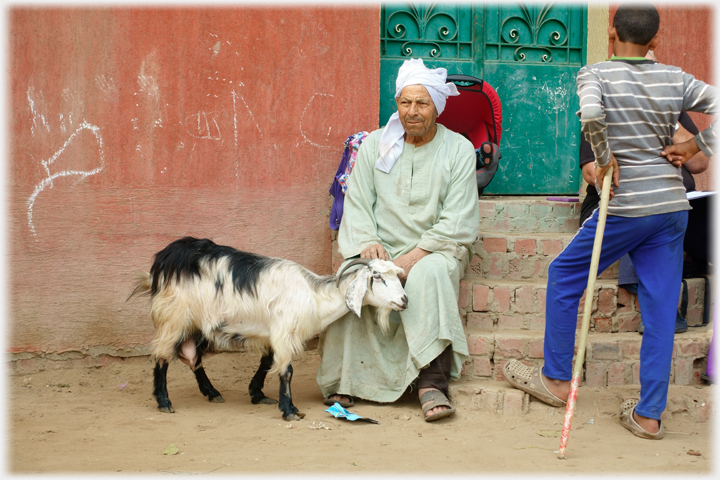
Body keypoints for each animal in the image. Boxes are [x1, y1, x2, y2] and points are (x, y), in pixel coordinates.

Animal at [130, 236, 408, 420]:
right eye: (377, 277)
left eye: (397, 277)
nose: (404, 300)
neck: (314, 295)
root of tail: (163, 260)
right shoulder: (284, 331)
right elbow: (286, 370)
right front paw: (290, 410)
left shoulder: (273, 333)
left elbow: (266, 362)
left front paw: (257, 394)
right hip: (173, 317)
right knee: (162, 357)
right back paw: (164, 401)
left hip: (195, 323)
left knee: (193, 358)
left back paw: (212, 392)